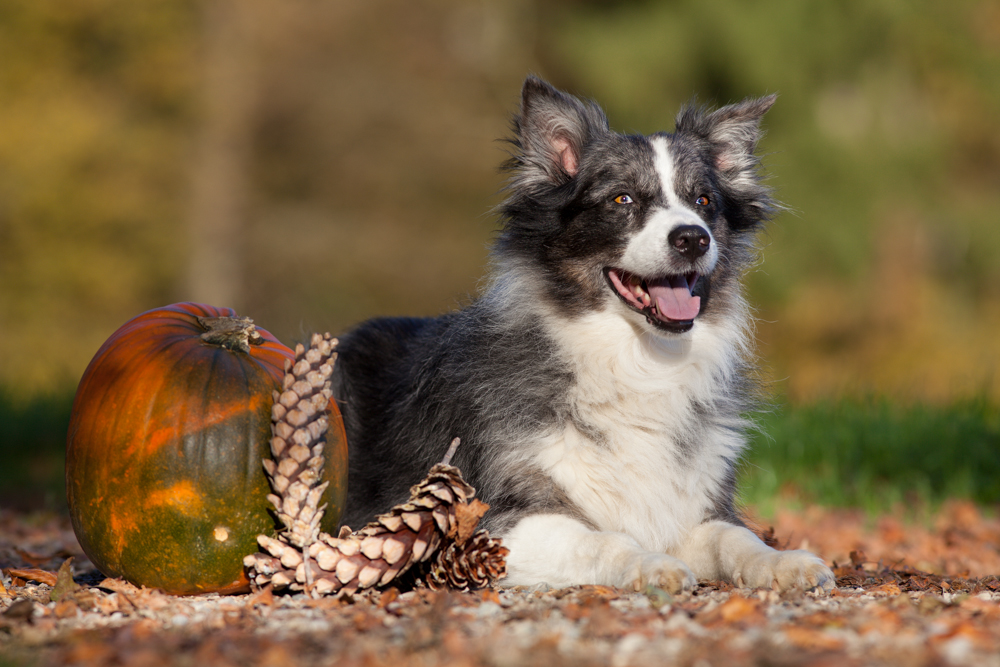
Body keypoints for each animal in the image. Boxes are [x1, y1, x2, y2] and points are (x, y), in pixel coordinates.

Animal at [330, 77, 836, 596]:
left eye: (704, 202)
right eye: (622, 200)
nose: (693, 238)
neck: (638, 360)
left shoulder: (691, 507)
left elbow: (733, 537)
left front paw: (783, 562)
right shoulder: (491, 524)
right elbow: (601, 540)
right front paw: (650, 565)